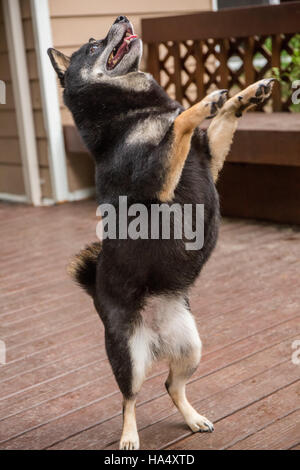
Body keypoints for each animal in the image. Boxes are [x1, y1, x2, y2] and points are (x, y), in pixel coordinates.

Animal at [48, 14, 276, 450]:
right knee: (128, 399)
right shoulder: (156, 183)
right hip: (129, 358)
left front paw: (247, 93)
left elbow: (218, 119)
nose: (121, 17)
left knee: (172, 385)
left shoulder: (207, 157)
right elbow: (181, 121)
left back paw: (193, 418)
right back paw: (129, 438)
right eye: (92, 44)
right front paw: (202, 103)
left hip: (191, 347)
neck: (131, 115)